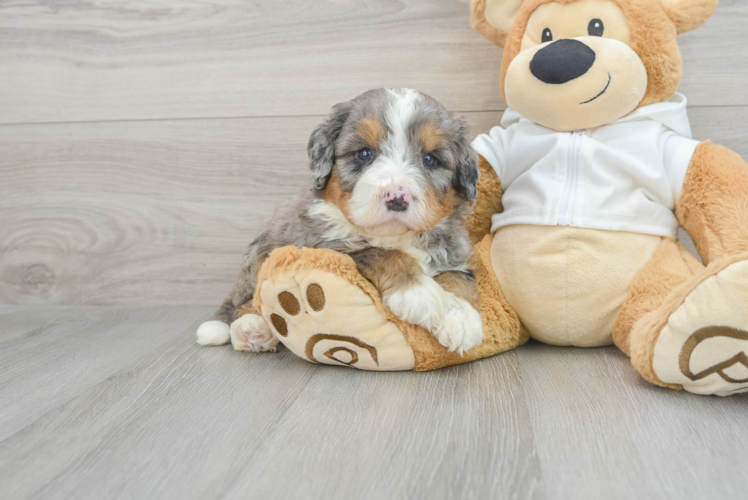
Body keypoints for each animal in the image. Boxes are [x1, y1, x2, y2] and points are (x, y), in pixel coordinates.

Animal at [196, 89, 482, 356]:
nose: (397, 198)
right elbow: (381, 253)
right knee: (247, 299)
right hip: (261, 255)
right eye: (364, 153)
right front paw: (419, 293)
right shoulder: (323, 245)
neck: (394, 235)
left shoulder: (455, 248)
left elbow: (461, 277)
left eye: (430, 159)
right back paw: (252, 328)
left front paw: (462, 317)